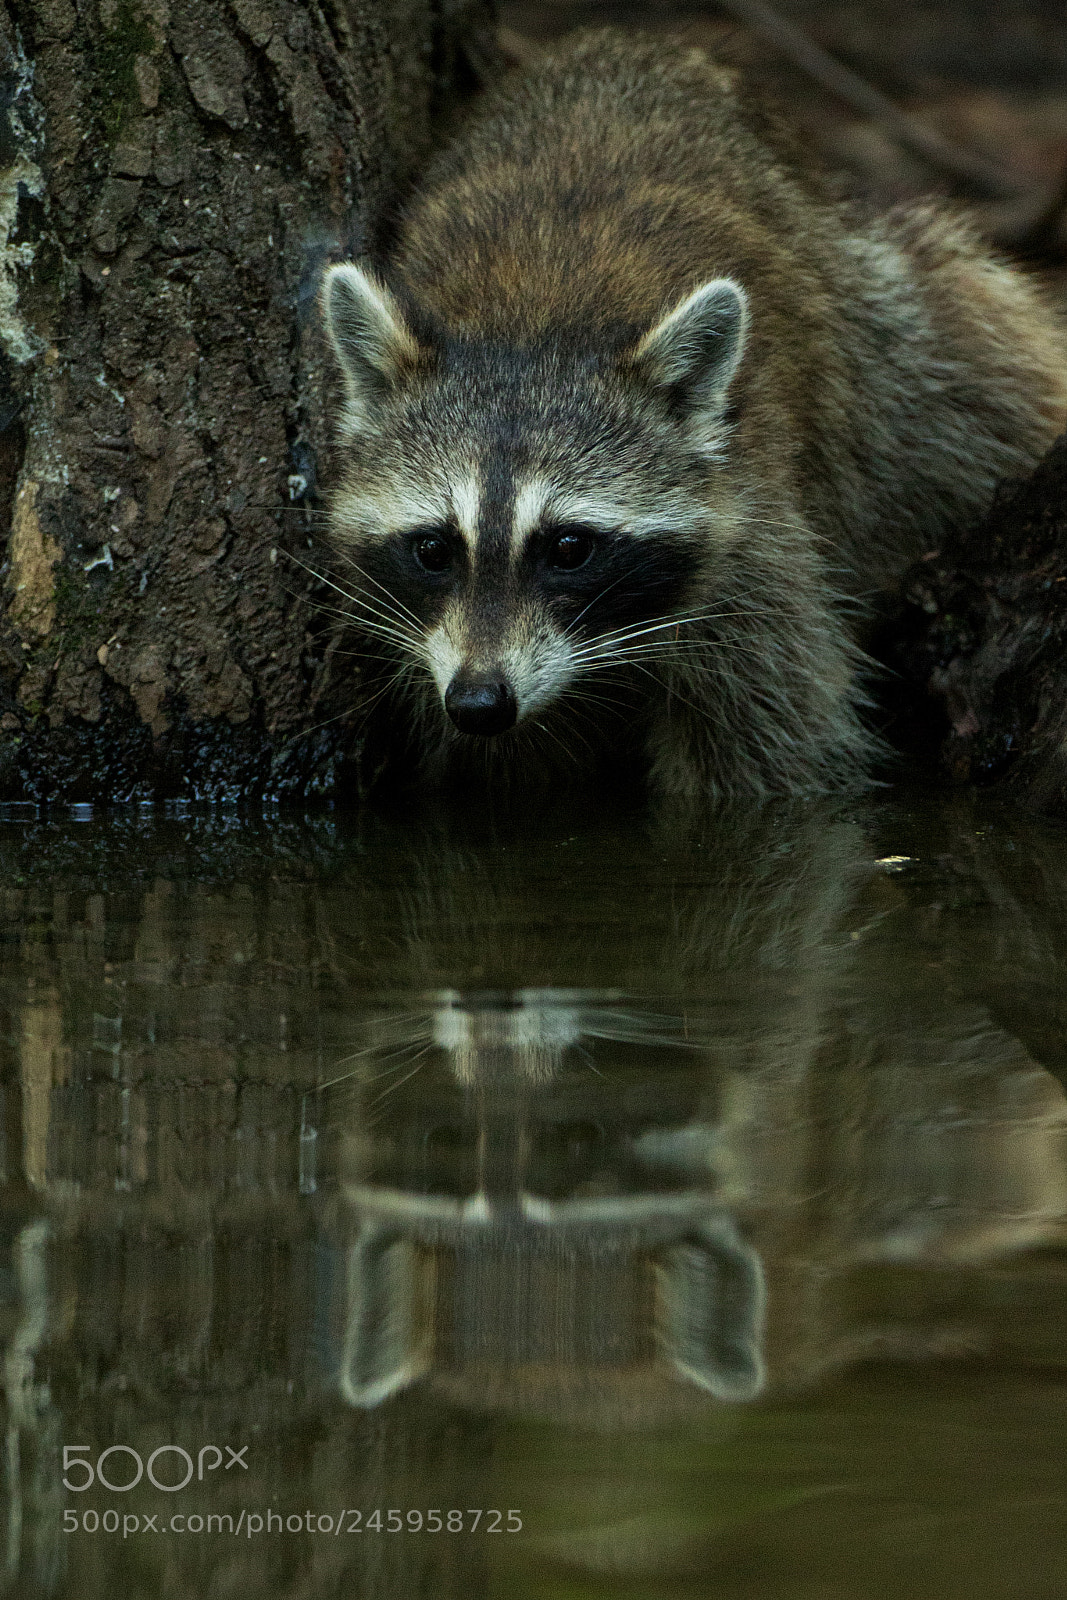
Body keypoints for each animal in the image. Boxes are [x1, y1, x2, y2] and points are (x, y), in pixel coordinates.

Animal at [320, 29, 1067, 801]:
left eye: (568, 547)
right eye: (433, 549)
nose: (479, 701)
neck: (532, 330)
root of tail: (631, 40)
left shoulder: (750, 542)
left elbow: (767, 757)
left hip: (890, 339)